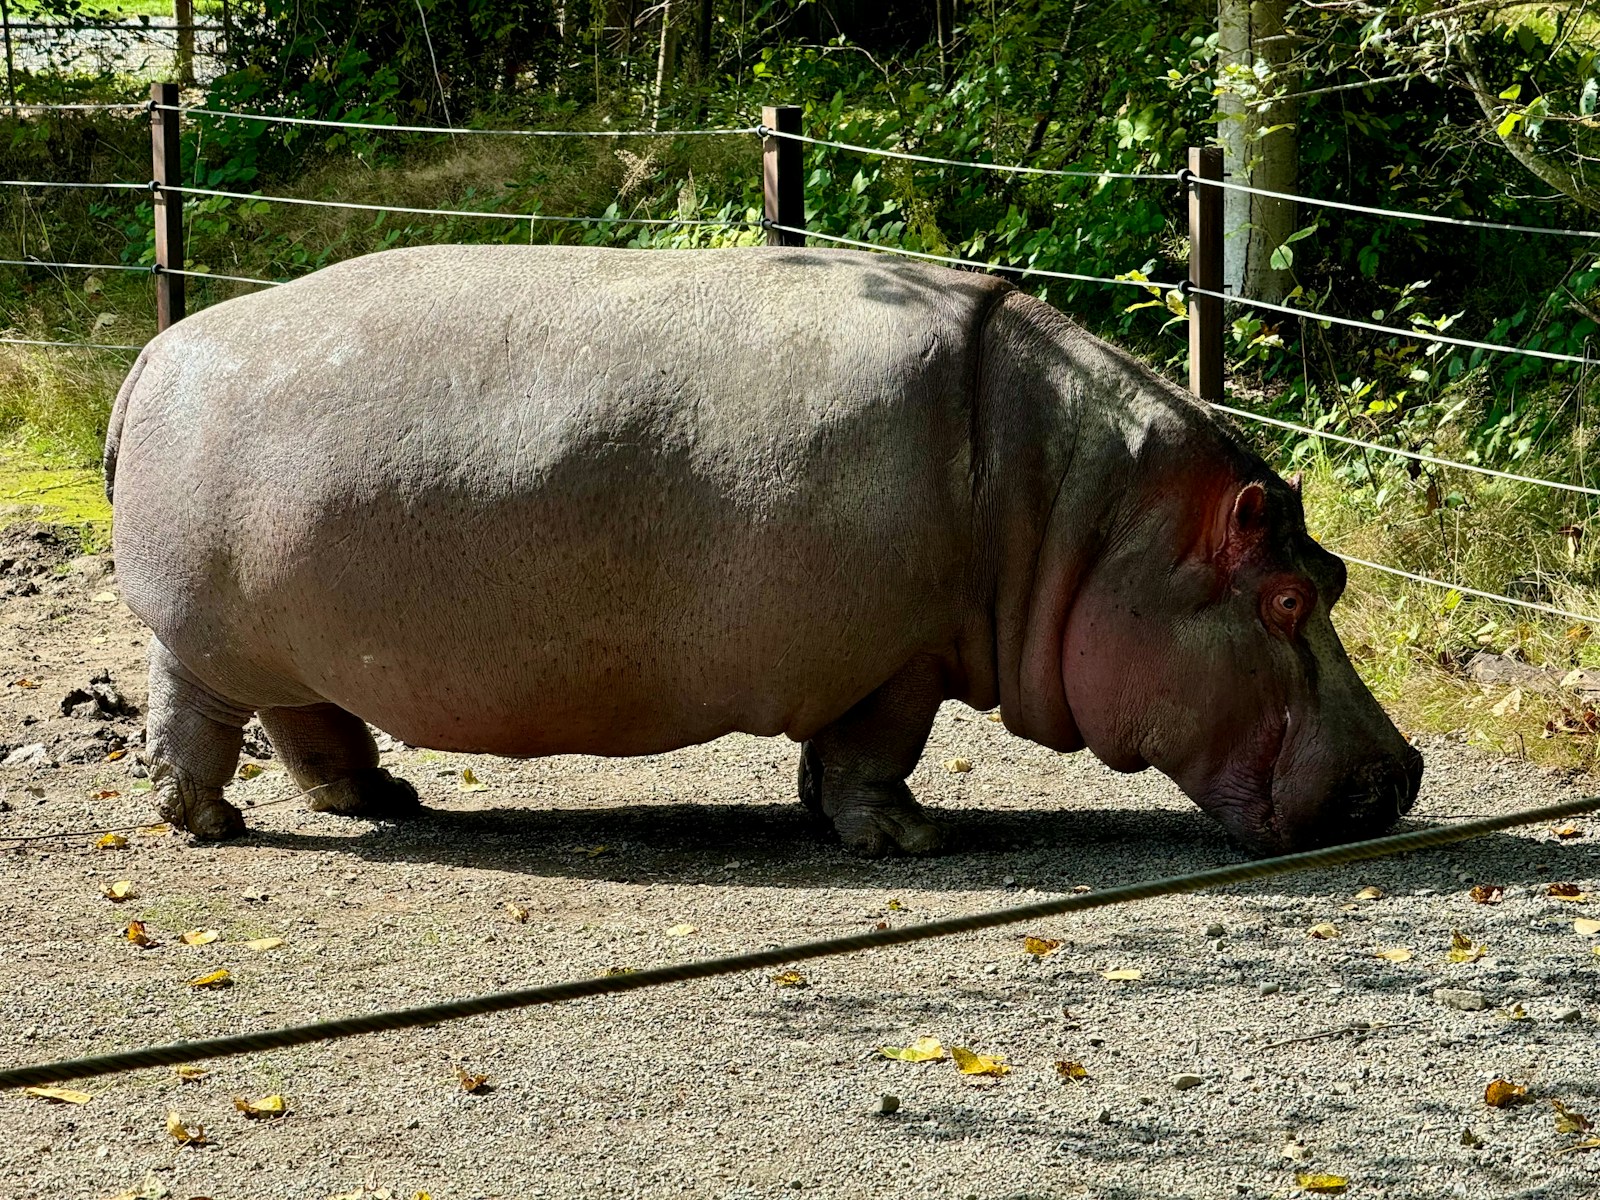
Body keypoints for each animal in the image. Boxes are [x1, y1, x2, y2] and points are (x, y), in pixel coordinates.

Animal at [104, 244, 1421, 856]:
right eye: (1289, 599)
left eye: (1337, 574)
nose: (1406, 773)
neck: (1088, 522)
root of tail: (157, 351)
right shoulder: (898, 657)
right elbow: (878, 752)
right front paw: (912, 840)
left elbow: (831, 757)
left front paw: (824, 816)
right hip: (207, 632)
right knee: (197, 715)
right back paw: (206, 823)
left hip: (290, 634)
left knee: (311, 724)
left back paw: (386, 797)